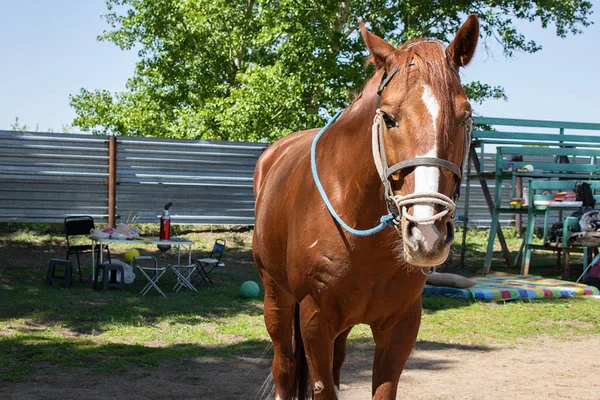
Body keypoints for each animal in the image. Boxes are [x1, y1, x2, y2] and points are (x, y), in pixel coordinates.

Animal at [252, 14, 478, 398]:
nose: (428, 233)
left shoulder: (401, 325)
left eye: (464, 116)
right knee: (284, 366)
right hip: (277, 299)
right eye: (387, 117)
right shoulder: (315, 321)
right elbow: (319, 385)